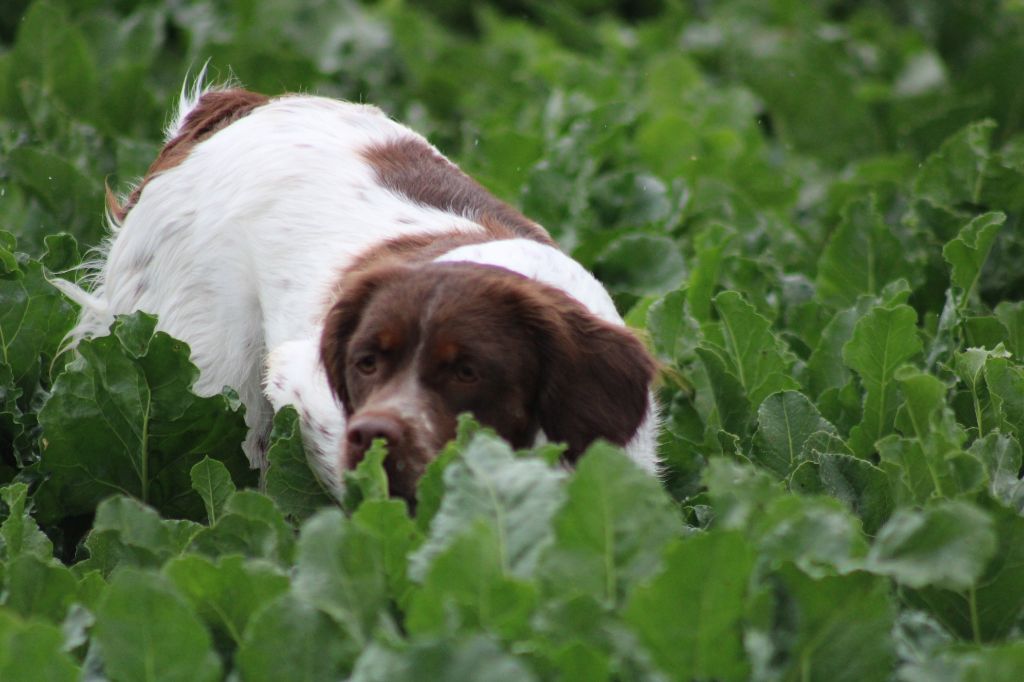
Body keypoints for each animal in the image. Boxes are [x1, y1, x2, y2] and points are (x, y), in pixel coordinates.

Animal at [59, 80, 659, 499]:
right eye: (365, 363)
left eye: (467, 372)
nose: (375, 435)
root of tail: (234, 106)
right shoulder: (304, 392)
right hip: (203, 369)